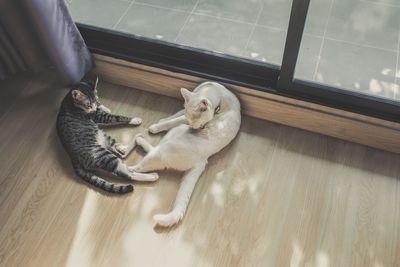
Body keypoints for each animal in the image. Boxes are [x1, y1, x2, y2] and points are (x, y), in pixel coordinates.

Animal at [130, 81, 241, 226]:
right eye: (191, 121)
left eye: (197, 122)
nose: (192, 127)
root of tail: (202, 161)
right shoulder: (184, 112)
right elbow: (177, 114)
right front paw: (162, 120)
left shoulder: (182, 121)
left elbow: (174, 120)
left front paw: (155, 127)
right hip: (172, 135)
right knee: (152, 148)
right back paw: (140, 140)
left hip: (164, 150)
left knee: (138, 168)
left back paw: (129, 165)